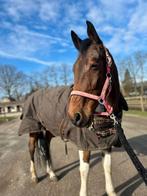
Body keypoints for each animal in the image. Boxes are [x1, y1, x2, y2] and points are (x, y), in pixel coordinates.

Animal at [19, 20, 128, 195]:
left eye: (94, 65)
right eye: (74, 68)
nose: (74, 116)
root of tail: (31, 95)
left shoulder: (107, 144)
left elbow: (107, 168)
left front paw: (111, 191)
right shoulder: (84, 144)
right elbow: (84, 171)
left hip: (49, 130)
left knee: (46, 148)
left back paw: (52, 174)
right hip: (33, 130)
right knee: (31, 150)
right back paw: (34, 176)